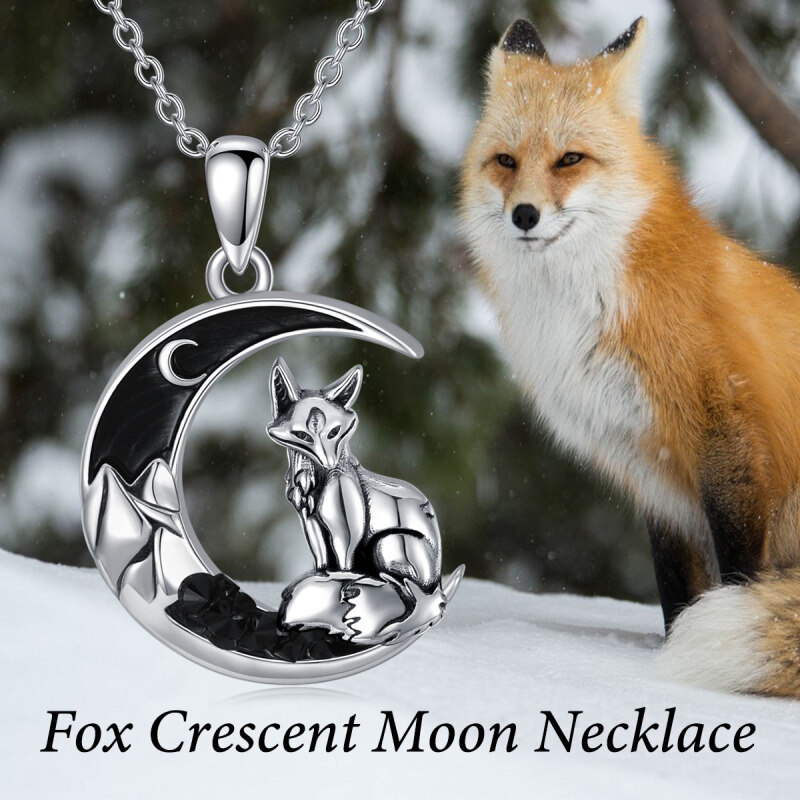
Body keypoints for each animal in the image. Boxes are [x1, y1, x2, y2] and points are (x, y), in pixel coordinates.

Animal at [266, 357, 455, 646]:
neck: (312, 481)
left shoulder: (345, 528)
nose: (328, 463)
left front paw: (338, 587)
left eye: (334, 432)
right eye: (303, 435)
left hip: (387, 543)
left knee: (409, 593)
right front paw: (322, 580)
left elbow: (344, 564)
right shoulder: (309, 521)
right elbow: (322, 563)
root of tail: (438, 587)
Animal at [460, 17, 800, 697]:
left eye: (569, 159)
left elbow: (738, 581)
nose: (524, 214)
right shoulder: (653, 467)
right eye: (506, 161)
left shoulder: (729, 440)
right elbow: (677, 592)